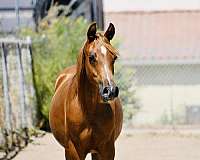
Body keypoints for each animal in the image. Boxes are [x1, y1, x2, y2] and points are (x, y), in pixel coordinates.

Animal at [49, 22, 122, 160]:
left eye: (114, 57)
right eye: (91, 57)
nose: (110, 90)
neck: (88, 112)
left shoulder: (107, 150)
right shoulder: (73, 152)